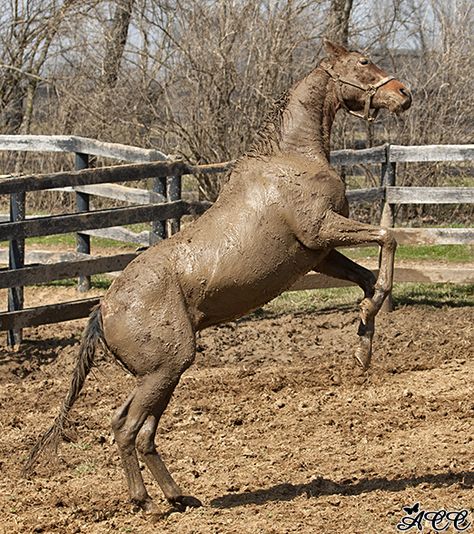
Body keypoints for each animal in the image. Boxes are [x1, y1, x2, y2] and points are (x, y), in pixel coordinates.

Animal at [25, 39, 412, 516]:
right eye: (362, 63)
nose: (402, 93)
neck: (292, 156)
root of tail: (103, 310)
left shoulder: (318, 254)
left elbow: (365, 277)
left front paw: (363, 347)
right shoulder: (321, 231)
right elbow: (388, 237)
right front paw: (368, 328)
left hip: (163, 374)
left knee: (138, 430)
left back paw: (177, 497)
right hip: (165, 369)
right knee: (128, 428)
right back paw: (146, 502)